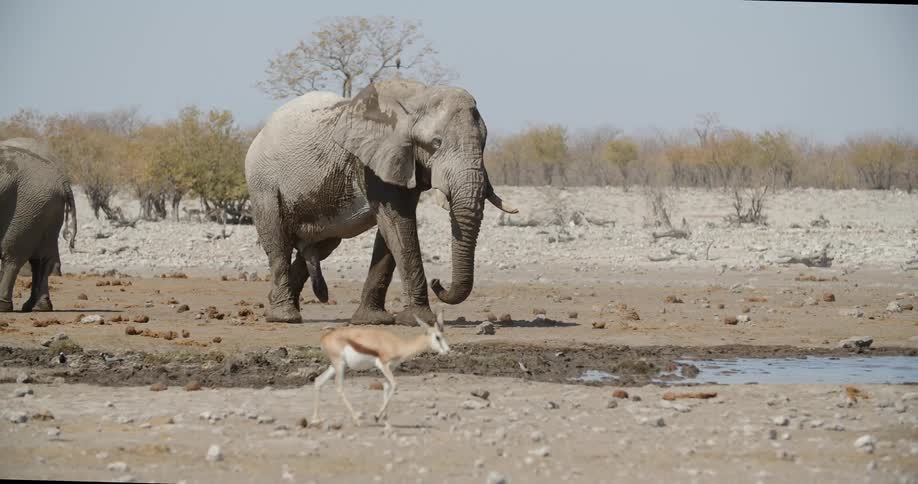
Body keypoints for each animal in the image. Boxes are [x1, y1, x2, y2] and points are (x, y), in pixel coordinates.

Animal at [0, 138, 77, 312]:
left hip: (27, 204)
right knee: (41, 258)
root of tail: (62, 181)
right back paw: (39, 306)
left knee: (12, 255)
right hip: (45, 207)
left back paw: (4, 305)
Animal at [245, 80, 516, 325]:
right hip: (263, 183)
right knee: (278, 242)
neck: (415, 99)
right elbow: (398, 224)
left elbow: (390, 232)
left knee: (322, 245)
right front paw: (420, 320)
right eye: (436, 143)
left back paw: (278, 305)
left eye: (484, 143)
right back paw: (284, 316)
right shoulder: (373, 163)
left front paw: (371, 320)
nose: (438, 282)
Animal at [312, 311, 450, 426]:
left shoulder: (390, 368)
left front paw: (384, 421)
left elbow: (387, 386)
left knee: (318, 381)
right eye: (437, 337)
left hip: (335, 366)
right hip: (339, 365)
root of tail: (324, 338)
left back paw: (316, 420)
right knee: (339, 387)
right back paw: (356, 419)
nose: (448, 351)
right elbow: (394, 384)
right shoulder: (383, 365)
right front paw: (377, 417)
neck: (398, 345)